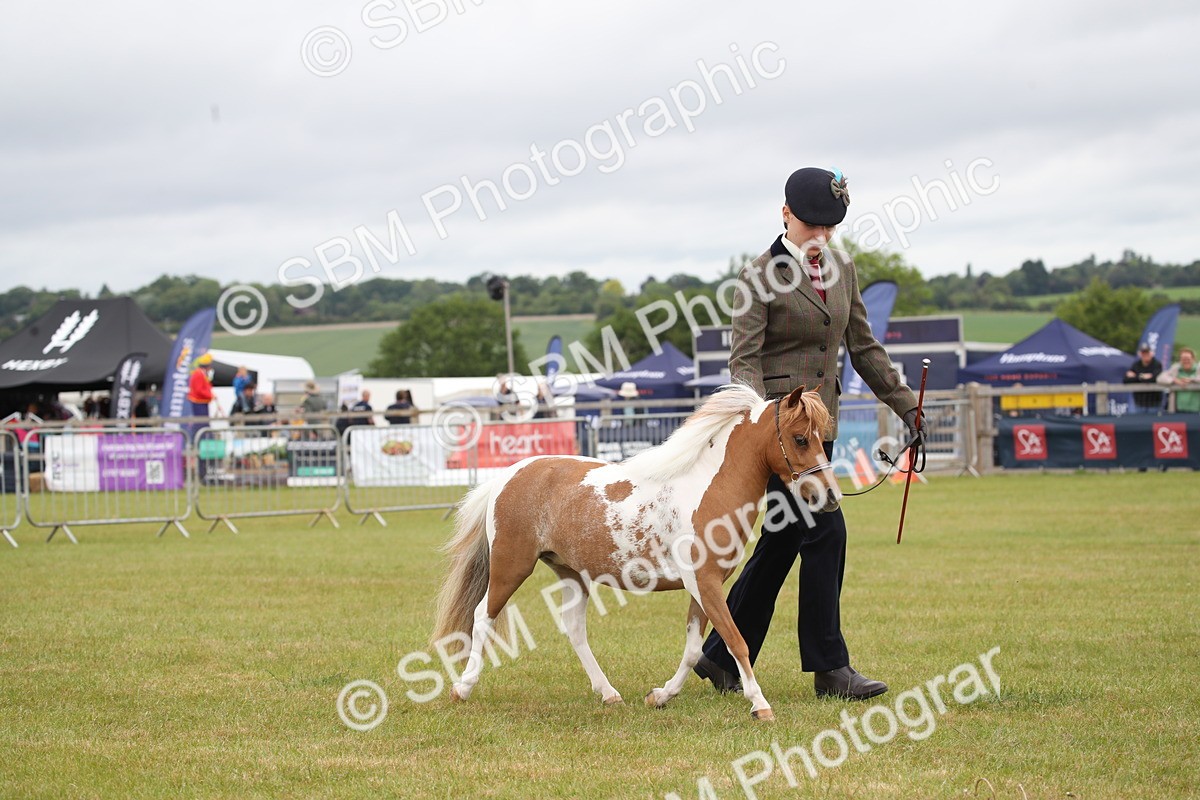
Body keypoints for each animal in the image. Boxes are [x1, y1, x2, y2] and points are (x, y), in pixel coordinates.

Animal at [431, 384, 839, 720]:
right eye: (800, 438)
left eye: (823, 438)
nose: (830, 497)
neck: (707, 490)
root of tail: (508, 475)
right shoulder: (705, 583)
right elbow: (737, 640)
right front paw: (760, 705)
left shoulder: (703, 587)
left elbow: (694, 649)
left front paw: (660, 696)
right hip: (511, 566)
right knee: (483, 616)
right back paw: (462, 688)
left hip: (571, 573)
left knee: (574, 629)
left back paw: (609, 694)